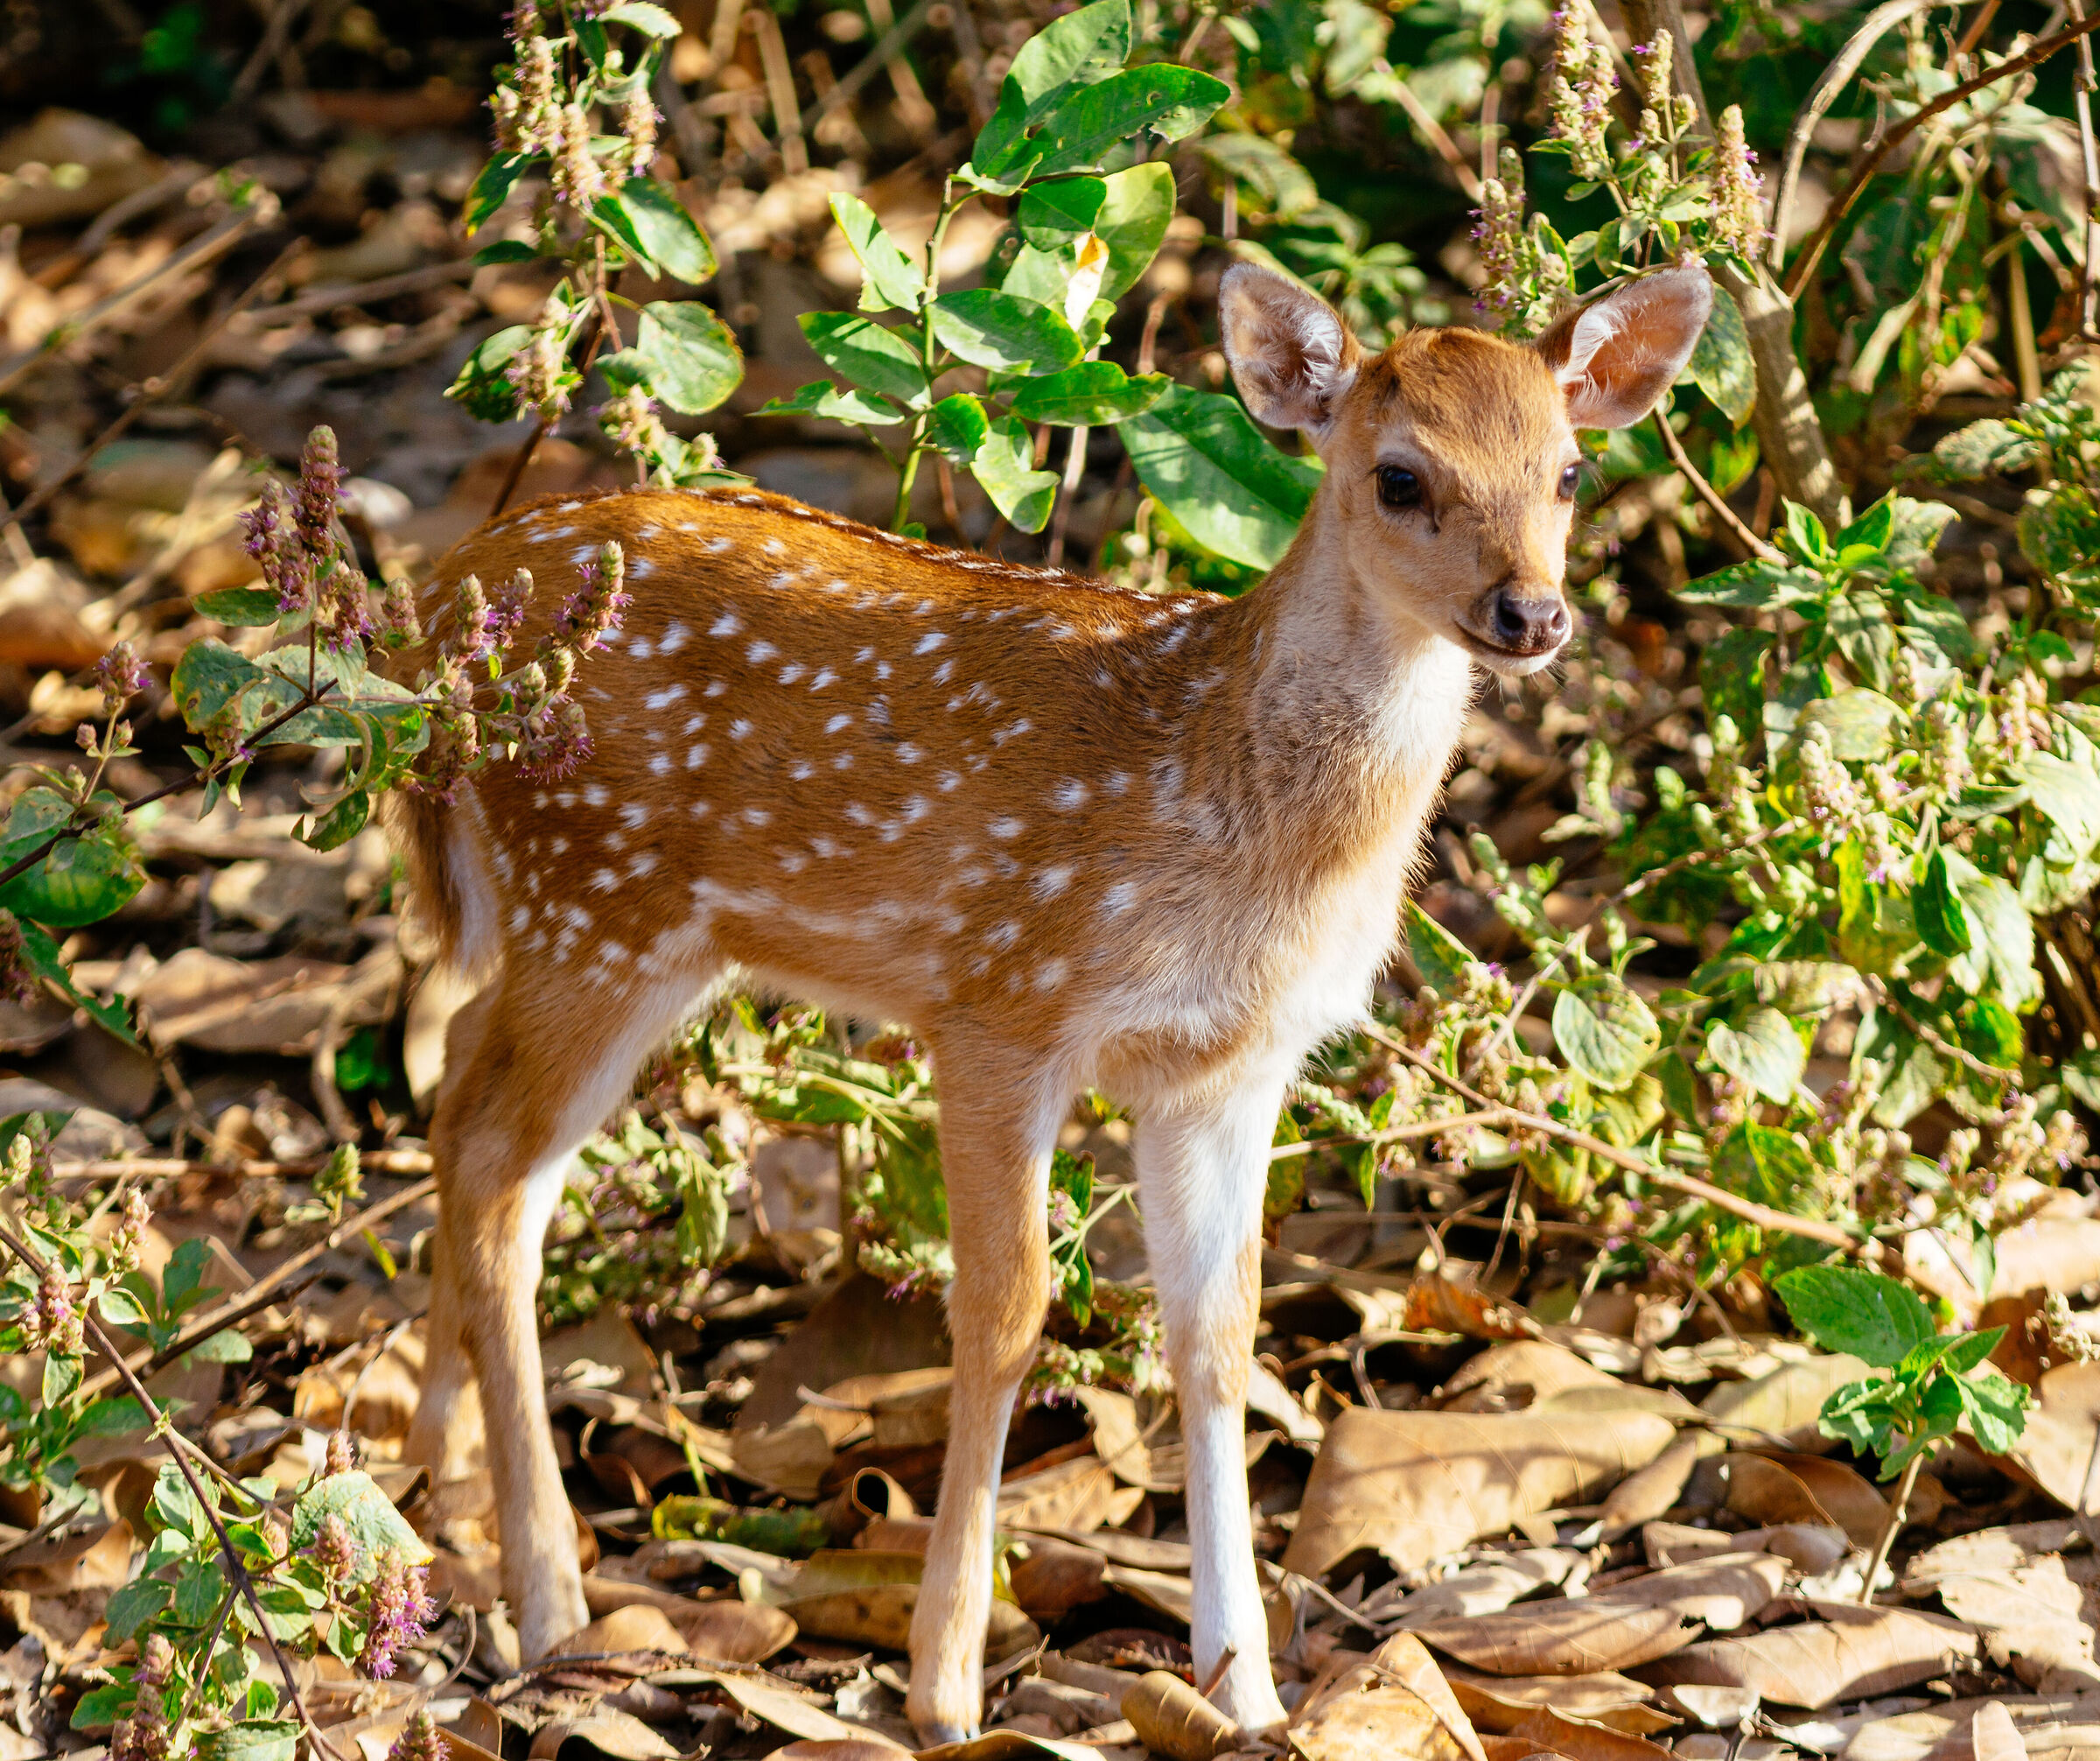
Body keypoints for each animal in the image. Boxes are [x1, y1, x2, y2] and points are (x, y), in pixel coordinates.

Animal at [388, 259, 1712, 1743]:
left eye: (1571, 471)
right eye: (1400, 477)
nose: (1531, 614)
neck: (1226, 800)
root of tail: (435, 602)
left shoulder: (1227, 1070)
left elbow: (1220, 1337)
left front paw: (1245, 1685)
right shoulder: (996, 1002)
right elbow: (1009, 1311)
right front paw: (947, 1681)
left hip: (600, 930)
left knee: (459, 1102)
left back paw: (434, 1489)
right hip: (600, 906)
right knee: (498, 1169)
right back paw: (549, 1600)